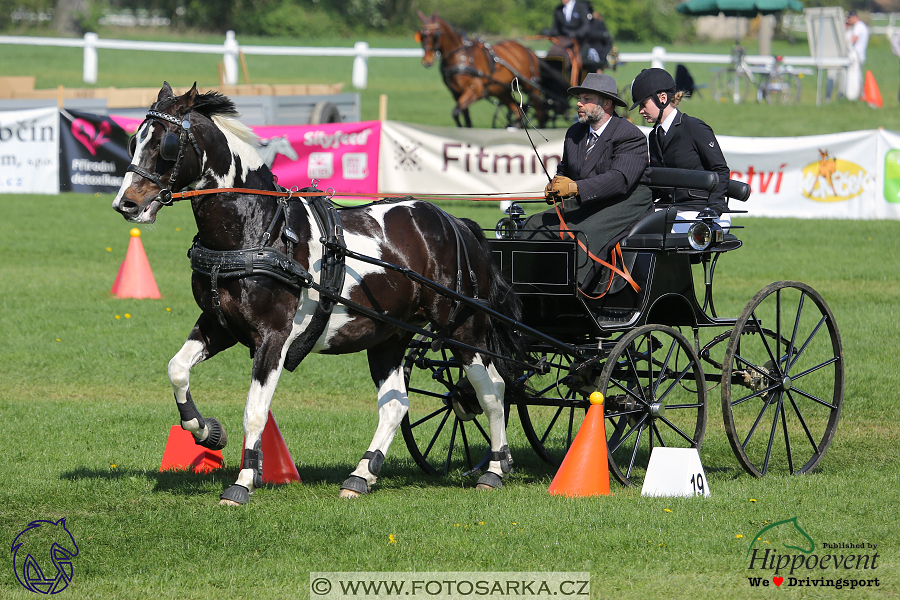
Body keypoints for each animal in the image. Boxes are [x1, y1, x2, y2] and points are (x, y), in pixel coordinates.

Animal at [112, 83, 528, 506]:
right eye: (134, 140)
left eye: (166, 144)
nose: (126, 204)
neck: (259, 231)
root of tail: (453, 222)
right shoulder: (220, 323)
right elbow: (177, 369)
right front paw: (206, 431)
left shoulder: (273, 337)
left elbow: (255, 411)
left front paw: (243, 481)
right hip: (389, 335)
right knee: (396, 403)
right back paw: (361, 475)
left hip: (464, 329)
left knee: (492, 390)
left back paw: (495, 468)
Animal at [416, 11, 548, 127]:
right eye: (421, 36)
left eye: (434, 35)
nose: (426, 62)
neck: (461, 57)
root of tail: (527, 49)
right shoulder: (456, 94)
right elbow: (464, 118)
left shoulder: (475, 91)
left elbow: (456, 113)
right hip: (501, 91)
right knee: (518, 112)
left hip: (531, 88)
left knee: (540, 114)